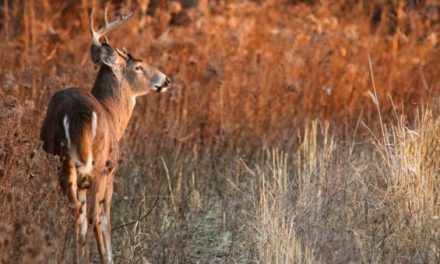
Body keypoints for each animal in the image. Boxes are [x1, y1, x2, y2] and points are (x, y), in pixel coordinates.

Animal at [40, 4, 170, 264]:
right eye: (139, 66)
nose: (166, 79)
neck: (111, 113)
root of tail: (79, 114)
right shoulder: (112, 169)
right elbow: (106, 216)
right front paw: (109, 255)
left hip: (64, 161)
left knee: (75, 212)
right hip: (99, 164)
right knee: (93, 215)